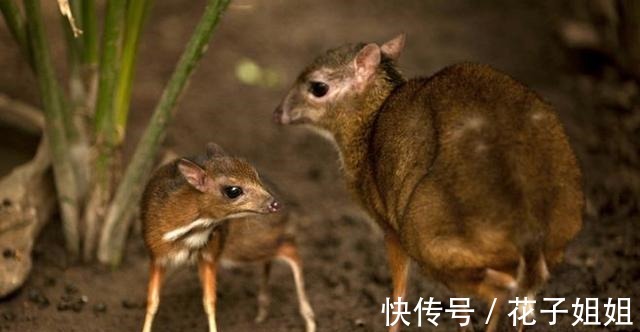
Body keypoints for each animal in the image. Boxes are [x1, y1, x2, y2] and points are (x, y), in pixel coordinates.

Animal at [144, 143, 292, 332]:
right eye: (233, 191)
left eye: (255, 174)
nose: (275, 203)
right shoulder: (157, 256)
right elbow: (152, 302)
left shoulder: (209, 255)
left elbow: (209, 302)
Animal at [272, 35, 584, 330]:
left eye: (318, 87)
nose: (277, 113)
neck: (370, 123)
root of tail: (528, 227)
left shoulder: (390, 229)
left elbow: (399, 293)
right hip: (556, 239)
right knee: (521, 297)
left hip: (423, 236)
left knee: (502, 290)